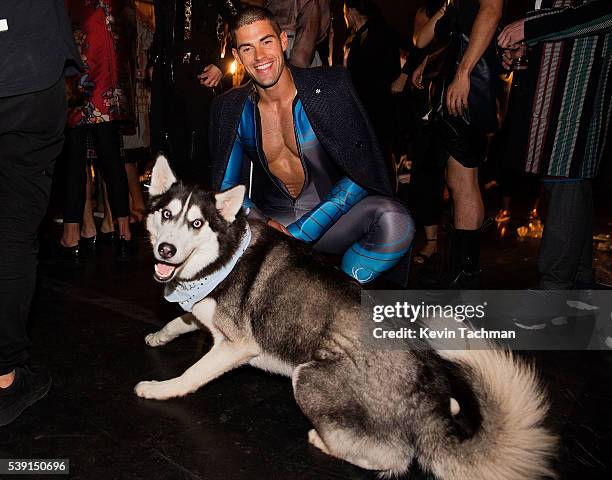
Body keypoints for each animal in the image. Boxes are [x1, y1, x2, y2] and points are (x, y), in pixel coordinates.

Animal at [136, 156, 556, 478]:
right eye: (167, 214)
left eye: (196, 223)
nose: (166, 249)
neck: (223, 257)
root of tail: (426, 405)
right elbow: (180, 320)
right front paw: (159, 336)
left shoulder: (236, 345)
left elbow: (192, 373)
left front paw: (161, 389)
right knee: (446, 410)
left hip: (308, 377)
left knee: (394, 457)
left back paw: (322, 440)